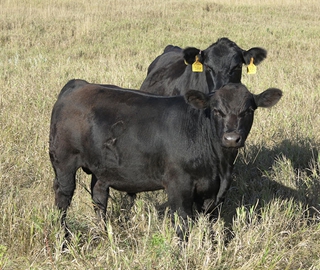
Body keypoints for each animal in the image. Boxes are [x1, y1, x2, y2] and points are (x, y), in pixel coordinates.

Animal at [50, 79, 282, 239]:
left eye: (249, 110)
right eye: (216, 110)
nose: (232, 138)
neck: (220, 164)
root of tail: (78, 85)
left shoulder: (214, 192)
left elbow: (209, 224)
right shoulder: (179, 186)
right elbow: (183, 225)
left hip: (102, 169)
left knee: (99, 197)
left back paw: (104, 233)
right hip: (64, 163)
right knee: (63, 199)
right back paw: (63, 238)